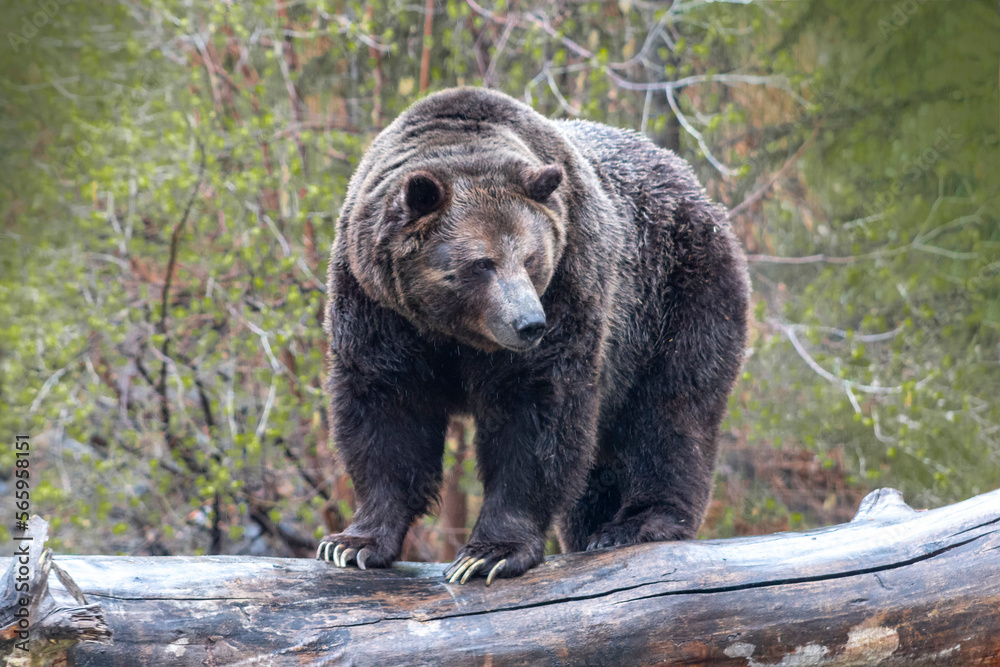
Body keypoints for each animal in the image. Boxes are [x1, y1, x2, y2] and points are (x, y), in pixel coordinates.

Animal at [317, 87, 749, 584]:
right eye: (481, 263)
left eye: (530, 258)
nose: (529, 323)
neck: (451, 330)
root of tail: (692, 184)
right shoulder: (377, 306)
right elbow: (386, 411)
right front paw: (353, 543)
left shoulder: (570, 282)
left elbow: (537, 414)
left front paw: (489, 553)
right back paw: (591, 528)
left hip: (677, 295)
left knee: (671, 409)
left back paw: (637, 522)